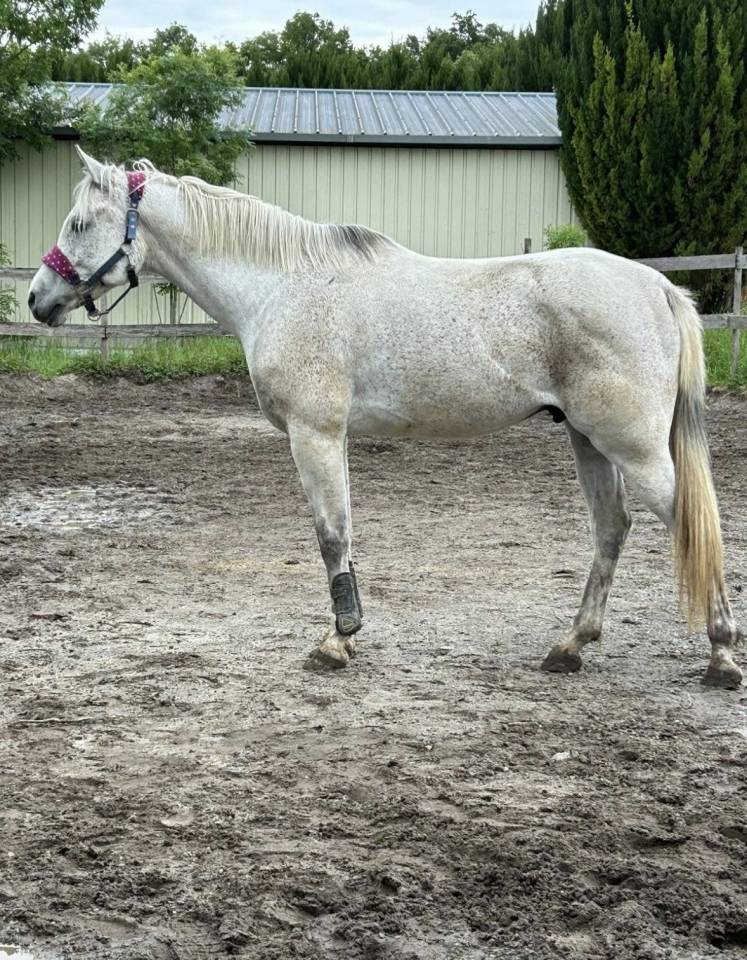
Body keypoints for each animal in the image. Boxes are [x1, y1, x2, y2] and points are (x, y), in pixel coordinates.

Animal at [27, 147, 743, 688]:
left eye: (79, 223)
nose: (36, 299)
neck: (282, 285)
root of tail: (657, 286)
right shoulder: (333, 438)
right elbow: (342, 534)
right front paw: (347, 634)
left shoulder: (314, 436)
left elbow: (330, 537)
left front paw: (337, 641)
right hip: (588, 440)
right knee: (612, 528)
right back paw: (570, 645)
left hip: (632, 447)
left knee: (689, 524)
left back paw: (720, 654)